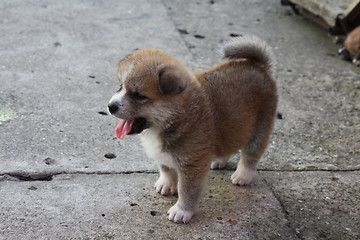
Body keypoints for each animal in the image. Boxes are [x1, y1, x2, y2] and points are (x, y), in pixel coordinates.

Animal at [108, 35, 278, 223]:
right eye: (120, 86)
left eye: (139, 96)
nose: (110, 106)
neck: (173, 118)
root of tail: (257, 65)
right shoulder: (165, 156)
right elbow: (166, 168)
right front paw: (166, 184)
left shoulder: (192, 164)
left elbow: (187, 190)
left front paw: (182, 211)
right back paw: (219, 160)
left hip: (260, 127)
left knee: (251, 154)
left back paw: (243, 175)